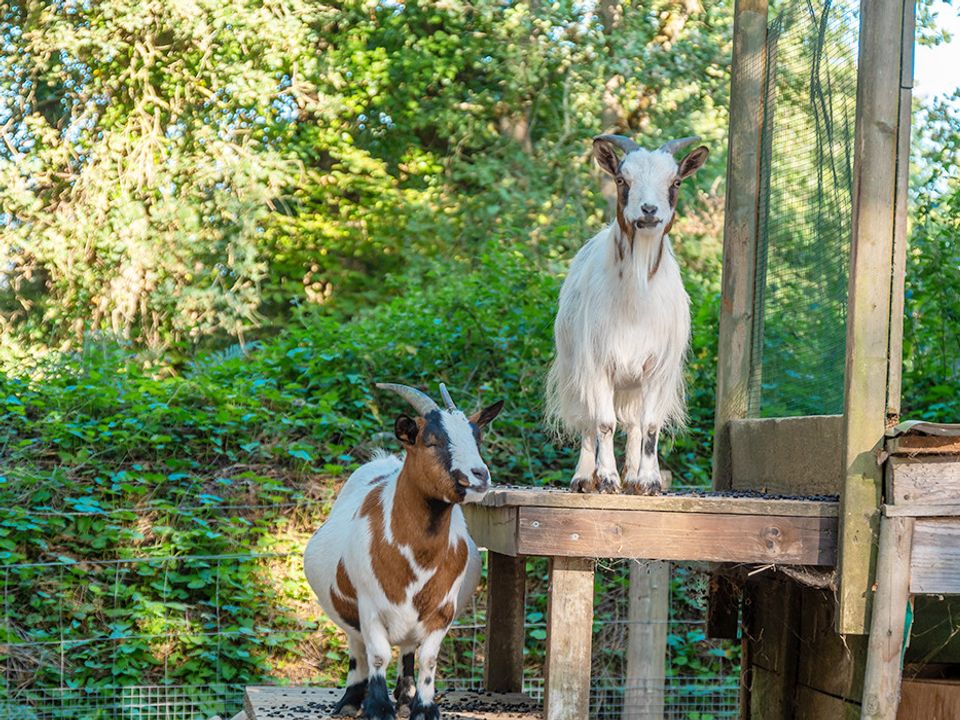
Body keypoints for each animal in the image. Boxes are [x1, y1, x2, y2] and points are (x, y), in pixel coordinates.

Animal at [306, 380, 502, 716]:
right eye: (432, 441)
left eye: (477, 438)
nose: (479, 475)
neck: (416, 558)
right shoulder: (370, 607)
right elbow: (378, 655)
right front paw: (378, 707)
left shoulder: (442, 611)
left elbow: (428, 658)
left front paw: (424, 707)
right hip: (347, 609)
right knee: (358, 648)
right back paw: (350, 700)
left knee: (408, 649)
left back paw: (406, 696)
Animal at [544, 134, 708, 496]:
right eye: (622, 180)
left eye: (675, 182)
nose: (649, 210)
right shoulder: (597, 362)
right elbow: (604, 423)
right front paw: (606, 479)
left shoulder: (658, 367)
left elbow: (649, 424)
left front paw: (648, 481)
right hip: (576, 365)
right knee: (587, 420)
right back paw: (584, 478)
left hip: (633, 382)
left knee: (634, 422)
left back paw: (634, 475)